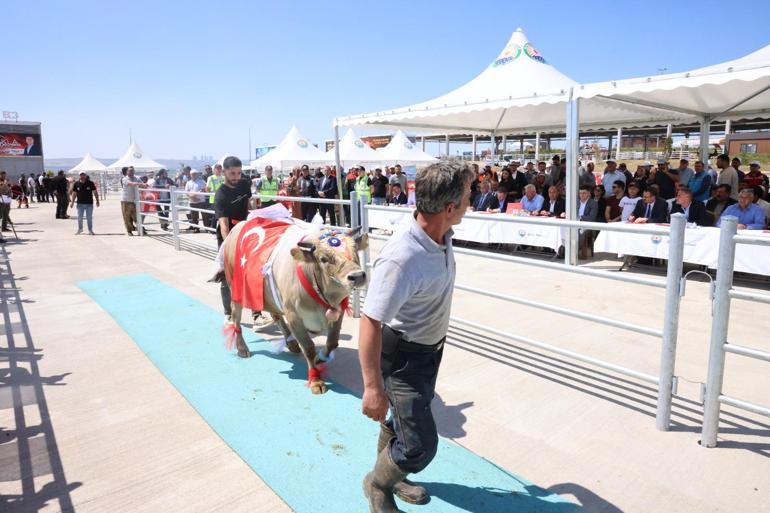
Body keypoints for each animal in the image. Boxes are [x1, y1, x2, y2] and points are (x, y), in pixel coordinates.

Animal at [220, 222, 368, 394]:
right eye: (323, 259)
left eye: (355, 250)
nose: (357, 276)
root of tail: (238, 226)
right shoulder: (293, 316)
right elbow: (309, 348)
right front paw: (316, 381)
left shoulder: (338, 312)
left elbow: (332, 342)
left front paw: (320, 358)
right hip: (236, 289)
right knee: (236, 318)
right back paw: (242, 348)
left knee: (276, 315)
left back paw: (291, 344)